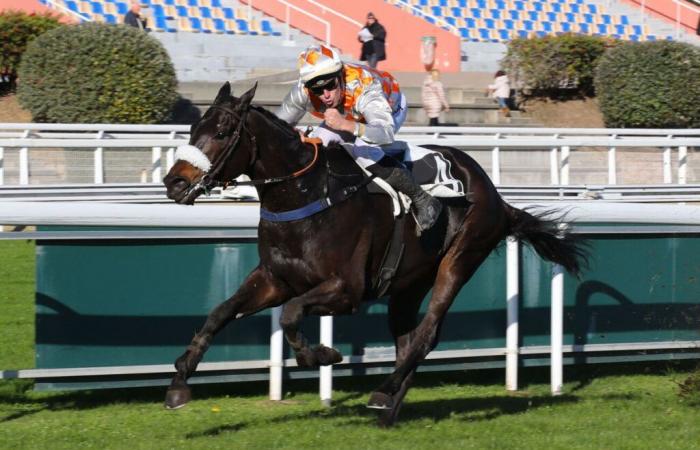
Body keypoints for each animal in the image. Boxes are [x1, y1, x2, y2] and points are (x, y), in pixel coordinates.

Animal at [163, 83, 584, 426]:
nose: (174, 182)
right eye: (193, 130)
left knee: (427, 333)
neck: (305, 194)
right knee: (409, 340)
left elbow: (291, 315)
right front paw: (180, 379)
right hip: (409, 283)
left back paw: (384, 391)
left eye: (221, 132)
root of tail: (496, 195)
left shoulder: (346, 289)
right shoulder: (274, 279)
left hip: (460, 260)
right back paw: (388, 408)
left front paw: (321, 355)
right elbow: (220, 313)